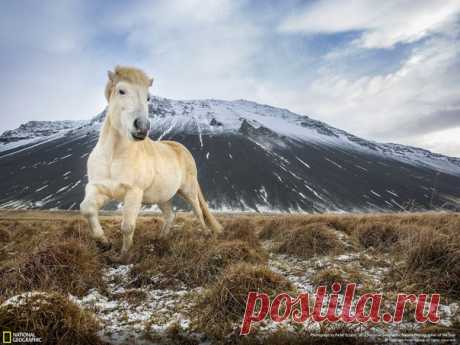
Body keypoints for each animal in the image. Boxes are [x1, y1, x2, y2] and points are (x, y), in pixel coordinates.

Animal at [80, 66, 223, 262]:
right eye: (121, 90)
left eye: (148, 97)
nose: (141, 127)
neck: (114, 155)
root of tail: (181, 149)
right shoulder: (99, 188)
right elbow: (86, 209)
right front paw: (104, 242)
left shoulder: (133, 192)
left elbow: (127, 226)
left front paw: (123, 257)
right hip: (162, 196)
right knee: (170, 215)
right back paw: (160, 239)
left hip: (188, 191)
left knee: (198, 212)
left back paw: (205, 235)